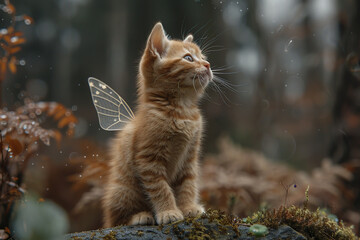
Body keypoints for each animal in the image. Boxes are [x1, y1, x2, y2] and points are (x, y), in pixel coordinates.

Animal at [102, 22, 212, 227]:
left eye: (203, 58)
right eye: (188, 58)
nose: (208, 65)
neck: (182, 110)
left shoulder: (190, 157)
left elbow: (188, 183)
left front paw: (188, 207)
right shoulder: (148, 159)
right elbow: (160, 188)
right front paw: (169, 211)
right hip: (124, 189)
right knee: (117, 218)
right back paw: (139, 216)